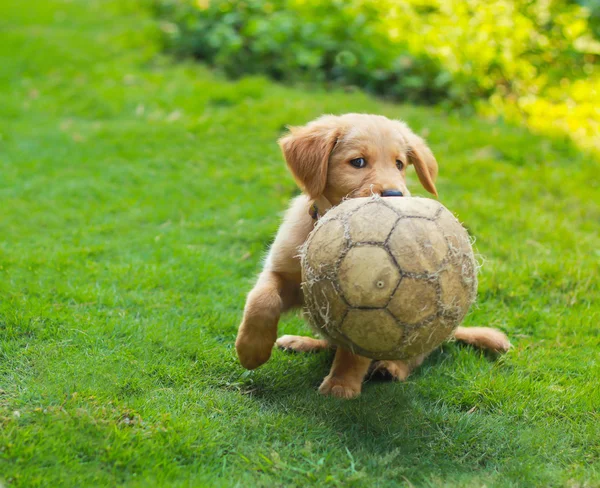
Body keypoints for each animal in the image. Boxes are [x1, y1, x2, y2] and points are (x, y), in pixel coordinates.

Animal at [232, 112, 508, 398]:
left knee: (415, 356)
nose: (395, 194)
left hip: (428, 335)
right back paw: (301, 342)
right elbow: (261, 299)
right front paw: (251, 350)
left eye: (399, 164)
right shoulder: (282, 272)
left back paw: (390, 367)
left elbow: (356, 349)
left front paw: (341, 384)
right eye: (358, 162)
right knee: (329, 342)